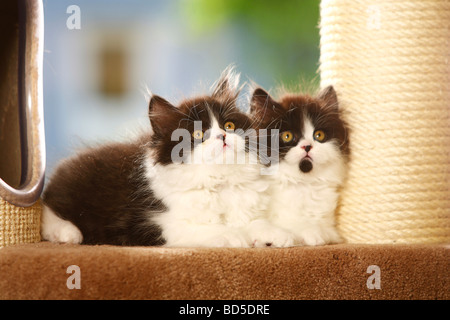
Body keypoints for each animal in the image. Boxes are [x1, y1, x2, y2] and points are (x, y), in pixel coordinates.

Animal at [41, 68, 296, 248]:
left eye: (229, 126)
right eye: (197, 134)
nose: (222, 136)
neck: (219, 182)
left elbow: (254, 222)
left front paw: (278, 235)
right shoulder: (156, 225)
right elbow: (206, 229)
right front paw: (234, 236)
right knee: (48, 210)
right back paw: (67, 233)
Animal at [251, 86, 350, 246]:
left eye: (319, 135)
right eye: (287, 136)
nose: (307, 146)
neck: (301, 183)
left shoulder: (331, 230)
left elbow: (318, 229)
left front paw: (311, 233)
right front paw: (278, 237)